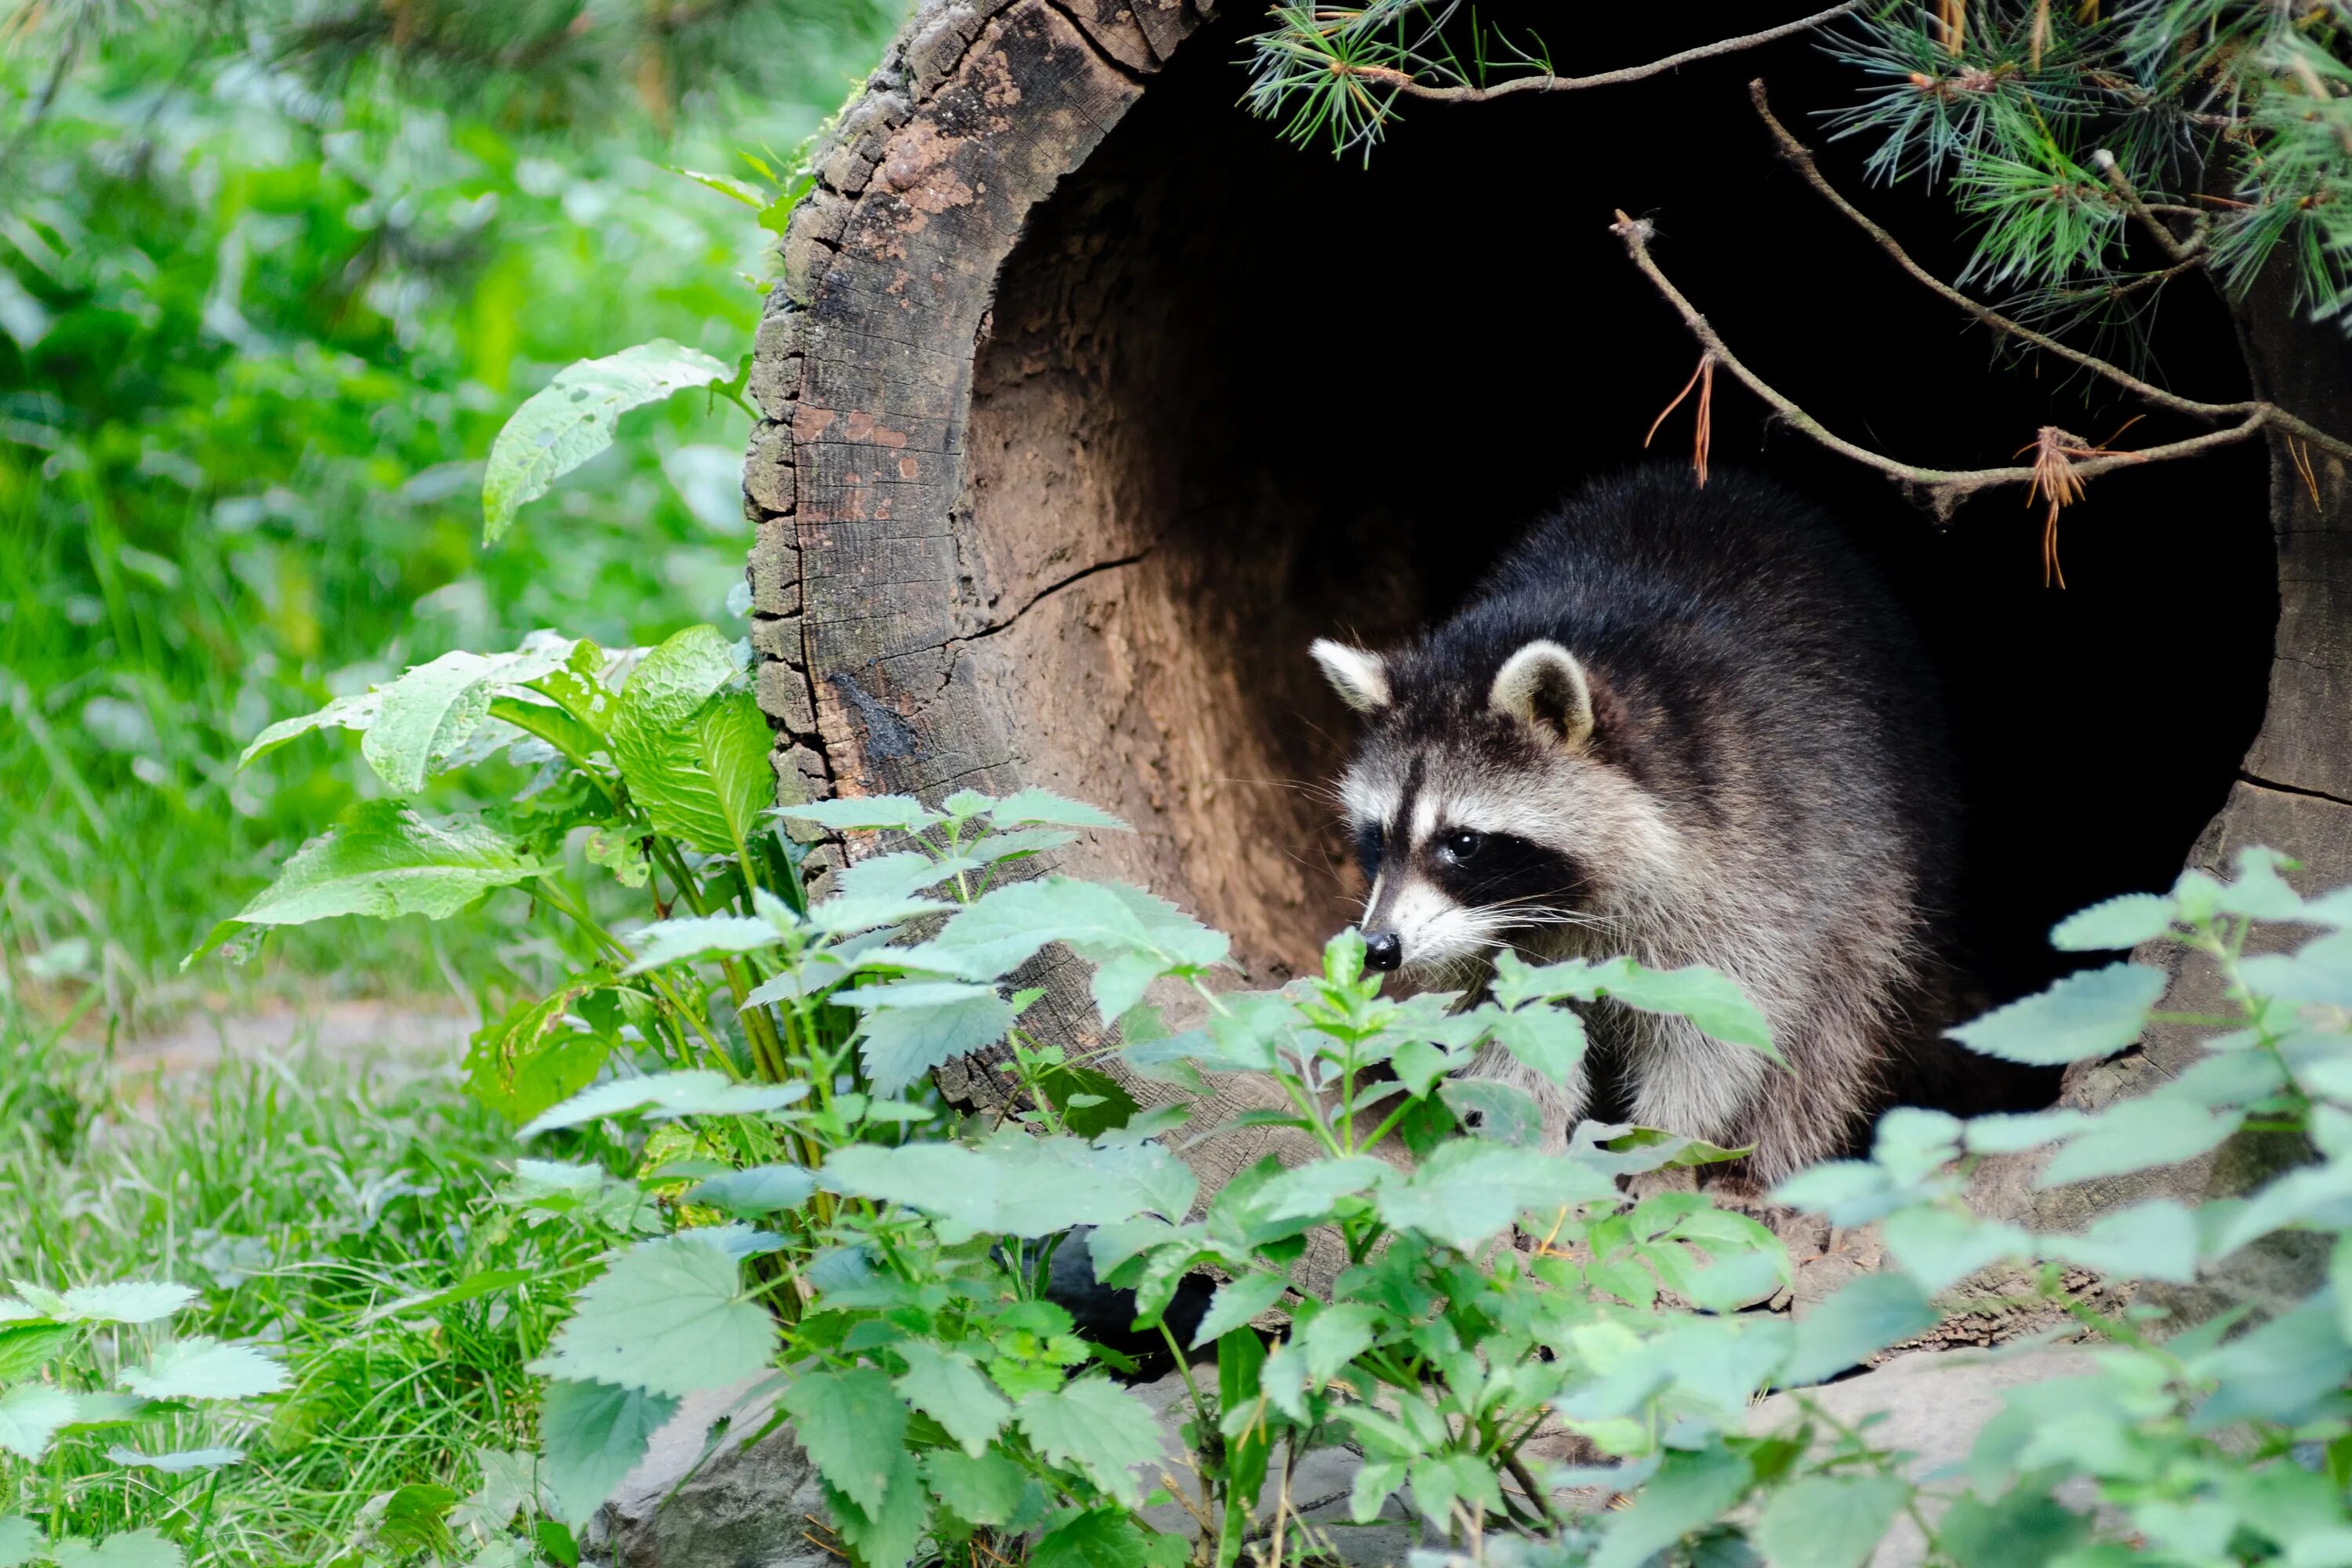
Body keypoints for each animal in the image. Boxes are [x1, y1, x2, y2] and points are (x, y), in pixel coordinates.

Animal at [1317, 472, 1957, 1185]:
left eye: (1463, 844)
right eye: (1378, 838)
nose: (1379, 947)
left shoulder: (1755, 858)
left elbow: (1721, 1030)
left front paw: (1663, 1155)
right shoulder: (1495, 945)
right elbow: (1513, 1034)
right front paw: (1533, 1152)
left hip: (1868, 862)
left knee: (1832, 1026)